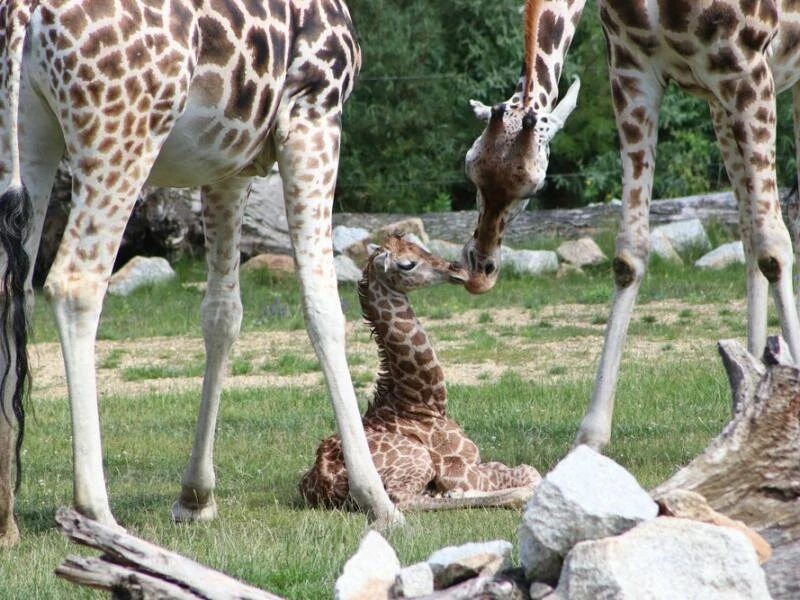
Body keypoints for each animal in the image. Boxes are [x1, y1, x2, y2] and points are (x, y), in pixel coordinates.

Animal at [0, 0, 400, 548]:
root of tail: (26, 14)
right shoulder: (313, 111)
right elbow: (323, 308)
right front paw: (377, 499)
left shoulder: (227, 164)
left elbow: (222, 315)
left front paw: (195, 497)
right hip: (123, 128)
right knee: (75, 283)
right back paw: (97, 513)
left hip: (28, 131)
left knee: (13, 290)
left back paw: (6, 521)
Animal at [296, 237, 540, 508]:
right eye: (407, 264)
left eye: (421, 247)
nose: (458, 269)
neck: (421, 403)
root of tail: (324, 482)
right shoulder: (456, 469)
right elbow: (530, 472)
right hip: (418, 459)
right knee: (402, 499)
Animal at [460, 0, 800, 450]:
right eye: (470, 168)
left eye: (534, 187)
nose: (480, 271)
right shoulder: (633, 72)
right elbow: (629, 254)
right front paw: (590, 436)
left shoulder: (747, 70)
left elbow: (773, 247)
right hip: (720, 105)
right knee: (748, 225)